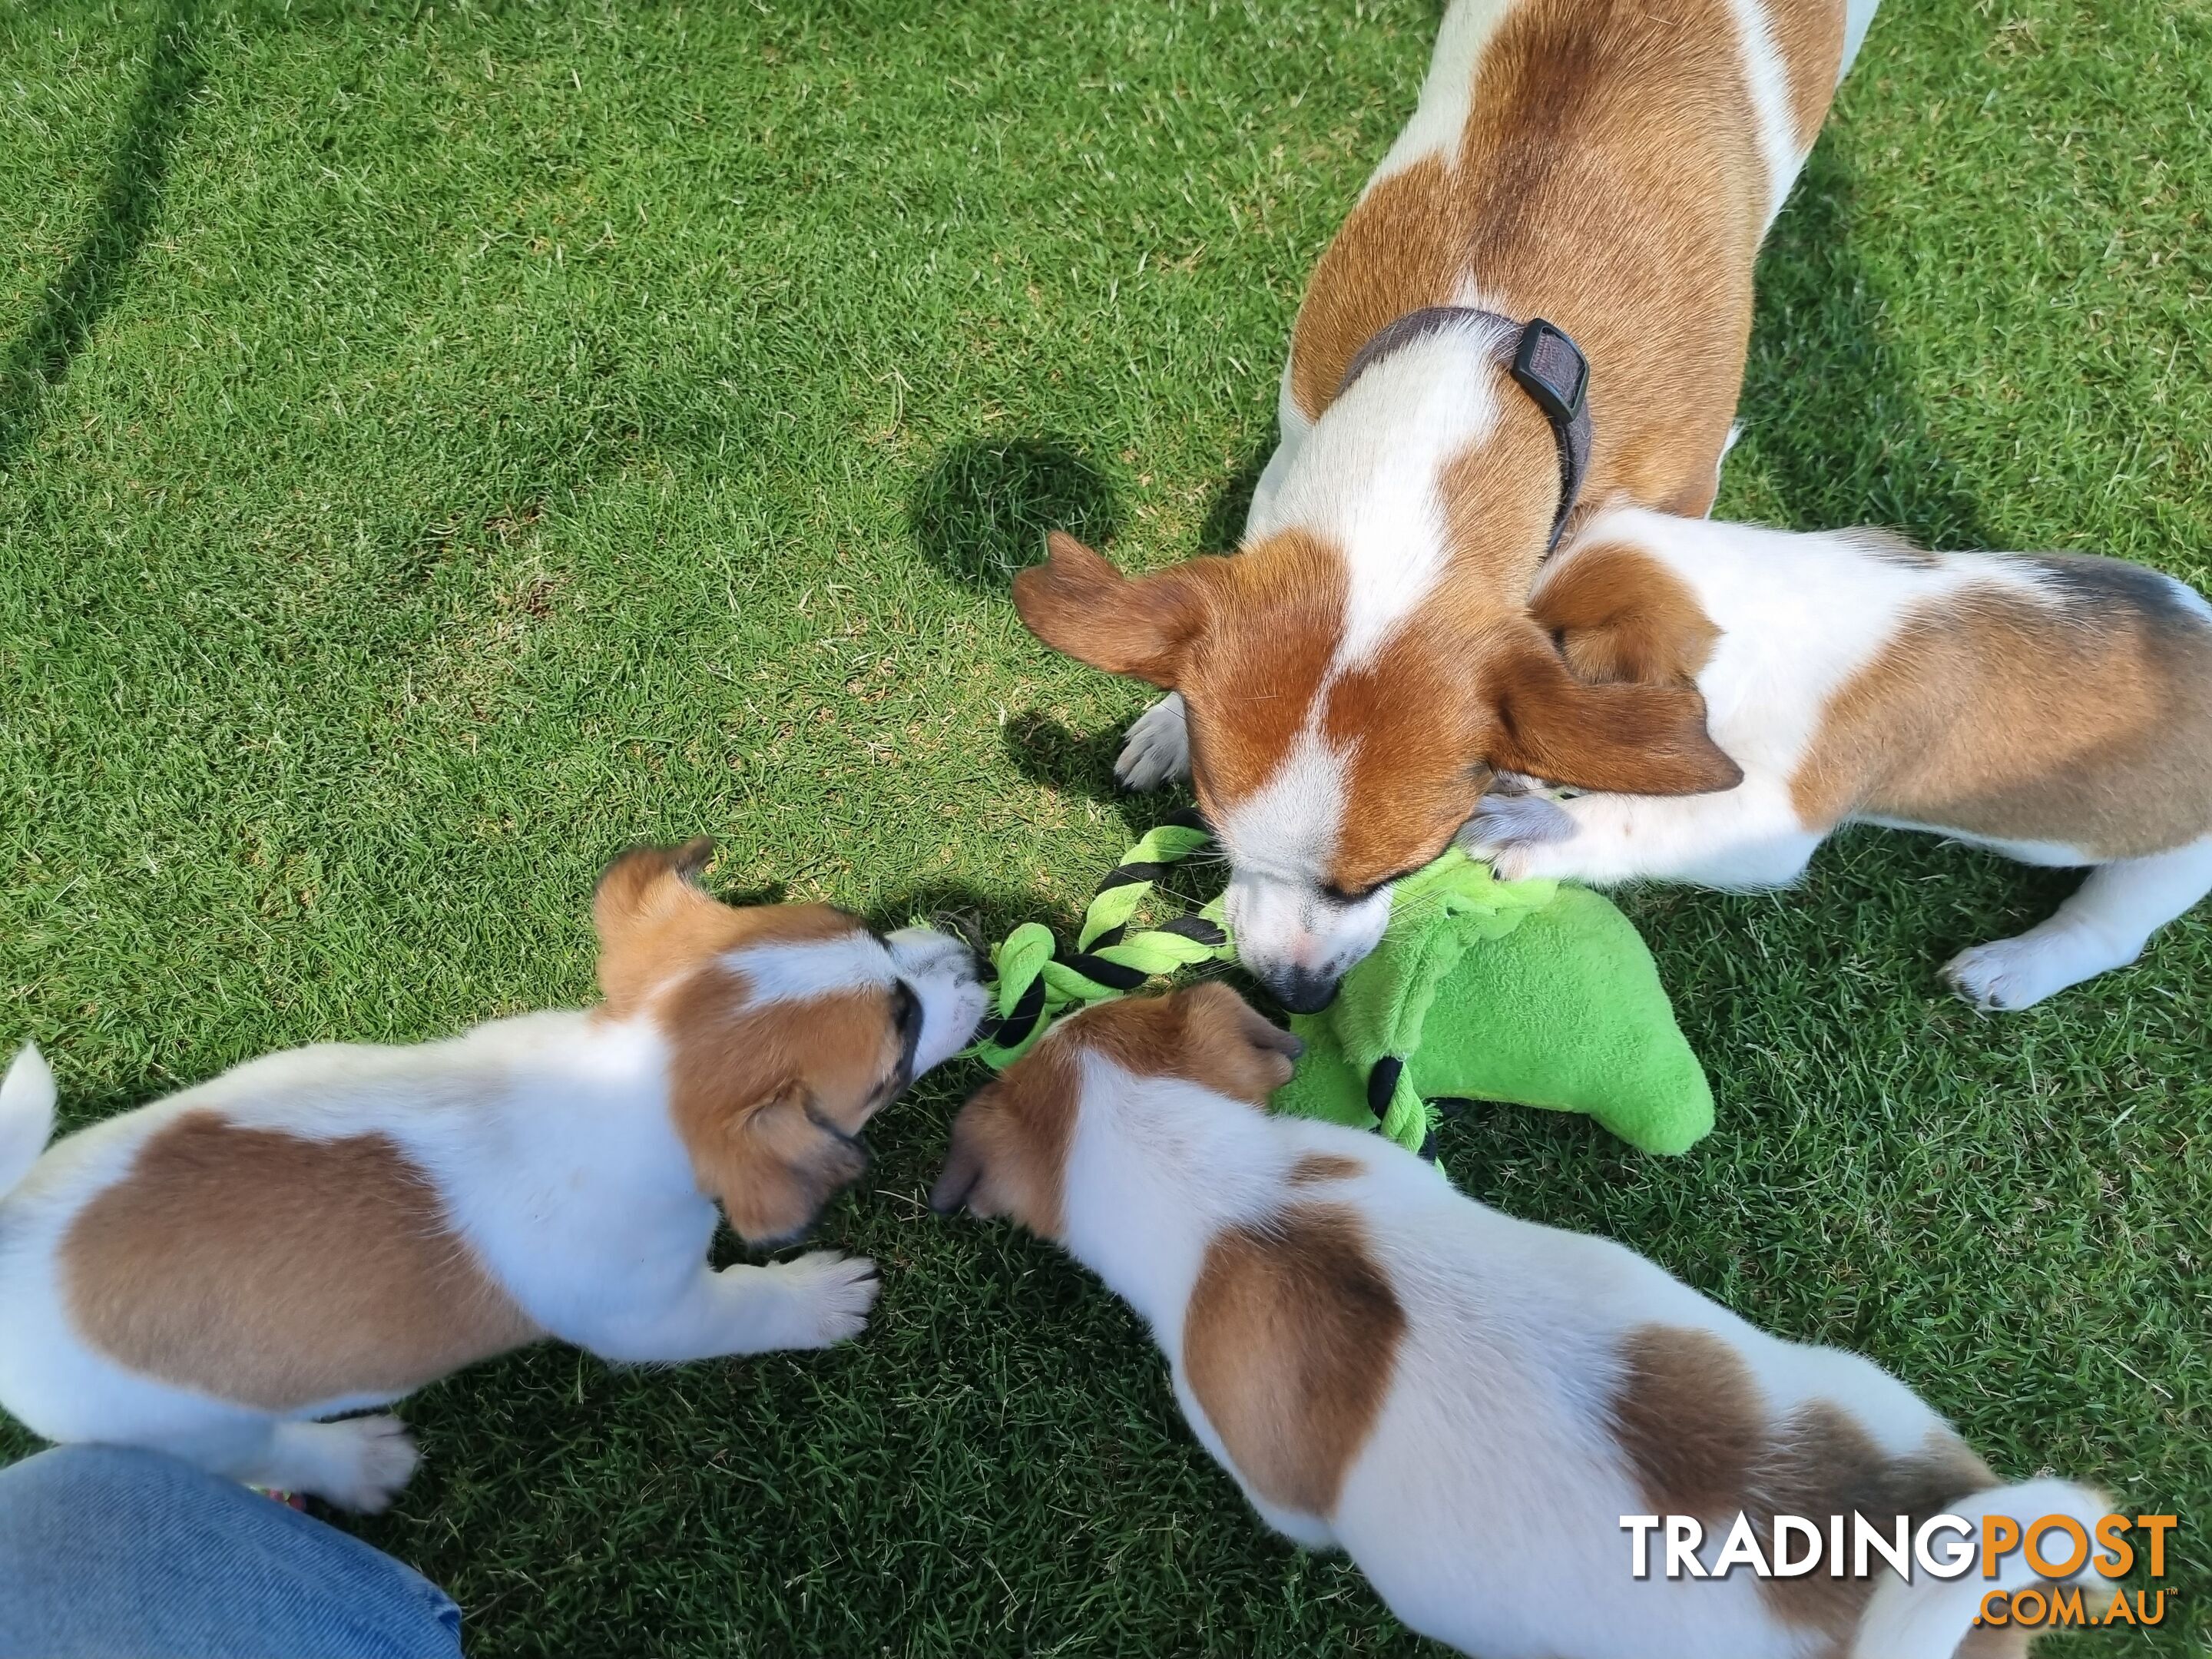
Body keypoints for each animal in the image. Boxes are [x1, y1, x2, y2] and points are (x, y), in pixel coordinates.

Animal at [0, 849, 986, 1512]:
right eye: (900, 1042)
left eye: (871, 933)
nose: (974, 961)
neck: (628, 1078)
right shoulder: (653, 1315)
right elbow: (742, 1306)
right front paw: (814, 1298)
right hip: (192, 1429)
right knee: (267, 1456)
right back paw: (360, 1464)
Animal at [1013, 0, 1876, 1013]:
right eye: (1216, 836)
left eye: (1397, 871)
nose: (1293, 994)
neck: (1489, 357)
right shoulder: (1295, 447)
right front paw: (1167, 722)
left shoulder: (1675, 497)